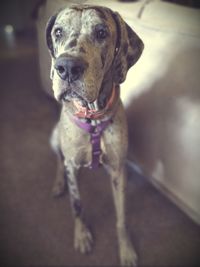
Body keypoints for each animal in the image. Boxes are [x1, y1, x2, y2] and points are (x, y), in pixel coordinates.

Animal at [45, 3, 143, 266]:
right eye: (58, 32)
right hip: (54, 138)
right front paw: (82, 236)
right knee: (57, 159)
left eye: (101, 33)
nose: (67, 67)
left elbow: (122, 217)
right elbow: (77, 204)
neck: (93, 118)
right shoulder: (71, 164)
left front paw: (126, 249)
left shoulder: (119, 170)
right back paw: (58, 184)